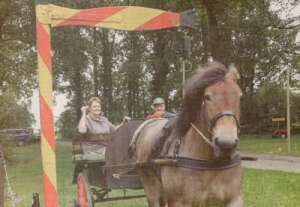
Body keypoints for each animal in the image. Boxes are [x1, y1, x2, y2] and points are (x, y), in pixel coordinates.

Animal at [134, 61, 244, 207]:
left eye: (240, 96)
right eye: (207, 96)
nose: (226, 144)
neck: (210, 162)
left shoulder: (234, 199)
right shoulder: (179, 202)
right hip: (149, 185)